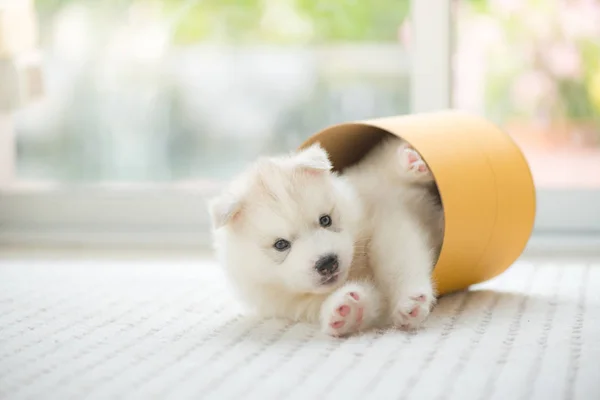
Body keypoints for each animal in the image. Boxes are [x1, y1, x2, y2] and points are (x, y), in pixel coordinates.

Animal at [209, 136, 442, 336]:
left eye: (325, 220)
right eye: (281, 244)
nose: (328, 263)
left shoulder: (385, 221)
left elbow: (399, 261)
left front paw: (410, 300)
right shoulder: (295, 304)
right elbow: (371, 300)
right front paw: (347, 307)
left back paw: (411, 162)